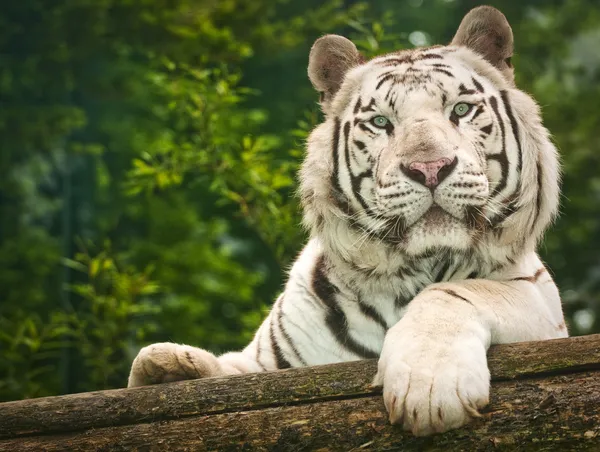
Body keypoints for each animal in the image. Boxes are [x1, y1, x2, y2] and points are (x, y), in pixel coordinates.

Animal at [127, 7, 568, 436]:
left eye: (460, 109)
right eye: (380, 122)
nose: (429, 168)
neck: (411, 273)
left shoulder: (541, 302)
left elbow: (462, 291)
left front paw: (428, 387)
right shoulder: (265, 363)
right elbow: (195, 366)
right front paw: (166, 368)